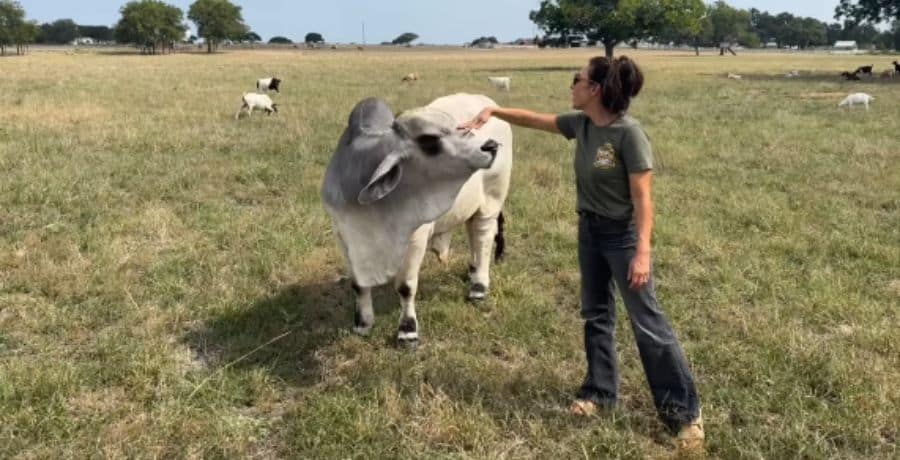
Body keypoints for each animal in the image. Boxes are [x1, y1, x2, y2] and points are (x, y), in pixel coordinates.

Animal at [322, 92, 512, 344]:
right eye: (429, 139)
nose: (489, 146)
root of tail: (487, 101)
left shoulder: (415, 238)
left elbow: (405, 286)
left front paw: (407, 330)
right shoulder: (345, 238)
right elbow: (359, 285)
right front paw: (362, 323)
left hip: (491, 200)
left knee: (483, 237)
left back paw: (479, 286)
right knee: (473, 233)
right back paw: (472, 271)